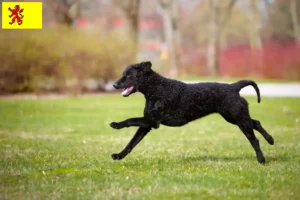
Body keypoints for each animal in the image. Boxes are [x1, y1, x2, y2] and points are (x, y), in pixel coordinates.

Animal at [110, 61, 274, 164]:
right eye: (123, 74)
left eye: (129, 75)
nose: (114, 84)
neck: (156, 88)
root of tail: (234, 87)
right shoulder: (147, 124)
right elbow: (131, 143)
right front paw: (118, 156)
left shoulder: (152, 121)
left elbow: (130, 120)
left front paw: (116, 124)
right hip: (235, 117)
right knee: (256, 122)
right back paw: (271, 139)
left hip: (237, 118)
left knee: (254, 139)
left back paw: (261, 160)